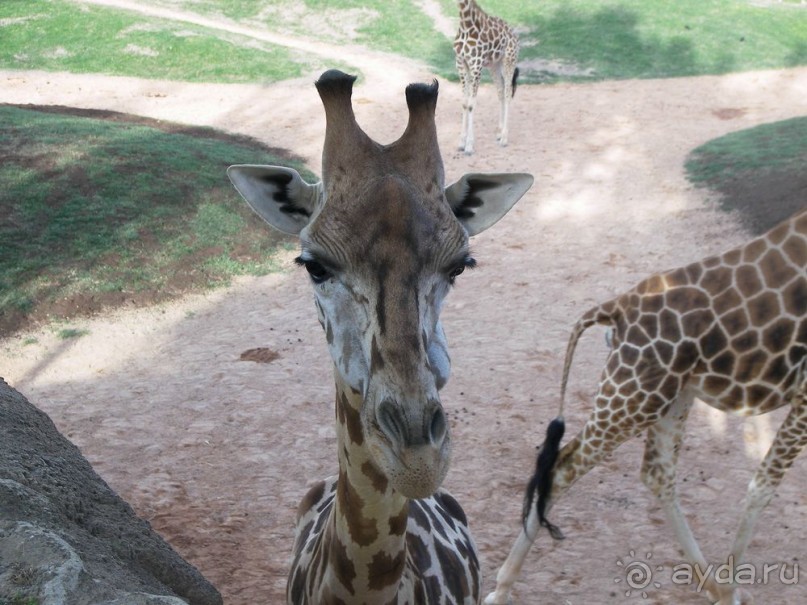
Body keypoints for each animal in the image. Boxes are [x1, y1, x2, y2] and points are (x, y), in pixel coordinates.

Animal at [454, 0, 524, 155]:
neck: (465, 23)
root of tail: (515, 35)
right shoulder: (461, 64)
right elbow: (464, 103)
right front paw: (461, 143)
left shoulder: (476, 65)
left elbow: (471, 104)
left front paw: (469, 146)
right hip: (494, 65)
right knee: (500, 92)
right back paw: (499, 132)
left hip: (509, 61)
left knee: (508, 93)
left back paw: (504, 138)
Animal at [486, 209, 807, 604]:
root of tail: (616, 309)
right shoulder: (806, 392)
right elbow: (761, 488)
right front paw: (732, 588)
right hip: (635, 394)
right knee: (563, 468)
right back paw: (500, 588)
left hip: (671, 395)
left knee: (657, 474)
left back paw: (713, 585)